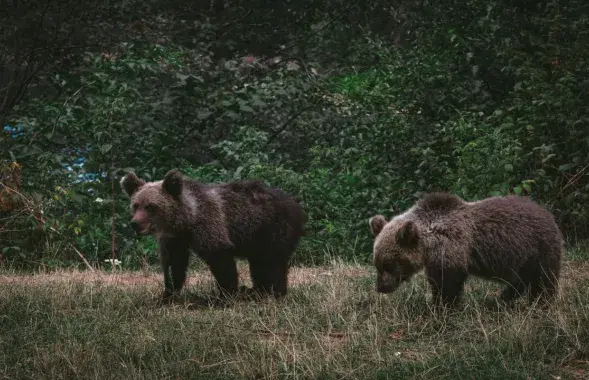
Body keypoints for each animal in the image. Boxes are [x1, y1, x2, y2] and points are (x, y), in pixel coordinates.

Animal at [117, 171, 306, 302]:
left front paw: (225, 295)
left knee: (272, 262)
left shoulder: (209, 225)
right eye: (136, 205)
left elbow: (220, 258)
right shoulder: (174, 239)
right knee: (259, 264)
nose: (135, 223)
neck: (187, 219)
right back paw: (257, 290)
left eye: (150, 206)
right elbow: (173, 264)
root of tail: (296, 203)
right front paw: (167, 294)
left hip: (272, 228)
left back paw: (272, 292)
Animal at [368, 193, 564, 308]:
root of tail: (547, 213)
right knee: (521, 279)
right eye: (377, 264)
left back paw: (539, 303)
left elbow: (447, 284)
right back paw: (504, 296)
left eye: (388, 264)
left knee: (542, 280)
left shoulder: (452, 249)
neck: (429, 244)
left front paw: (441, 307)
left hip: (539, 248)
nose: (380, 287)